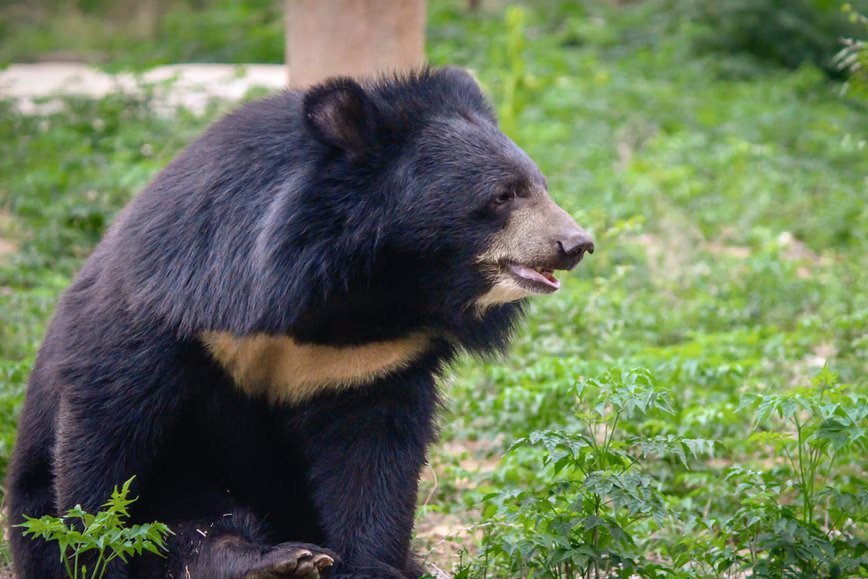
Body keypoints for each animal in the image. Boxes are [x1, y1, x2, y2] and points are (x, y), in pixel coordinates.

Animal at [5, 69, 588, 579]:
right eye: (503, 195)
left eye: (540, 185)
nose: (576, 244)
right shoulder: (178, 300)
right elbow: (109, 421)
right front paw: (92, 553)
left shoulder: (373, 358)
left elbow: (371, 459)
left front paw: (367, 566)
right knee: (193, 526)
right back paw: (272, 562)